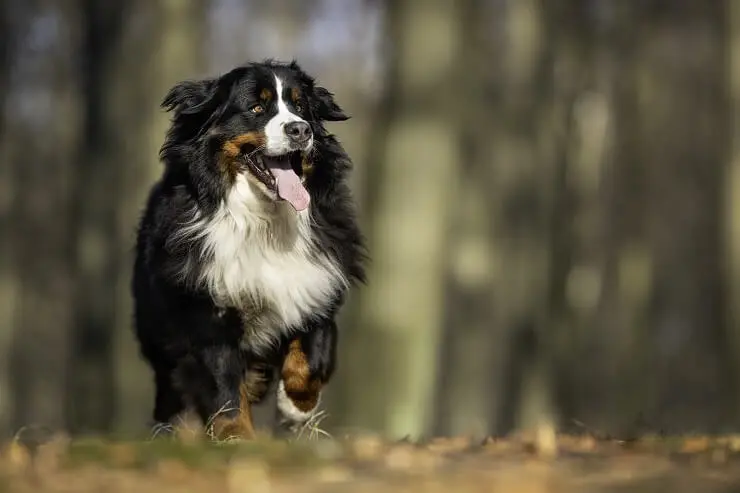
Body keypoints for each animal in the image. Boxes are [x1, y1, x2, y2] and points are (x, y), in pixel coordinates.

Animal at [132, 59, 368, 440]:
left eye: (301, 107)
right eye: (257, 108)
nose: (300, 130)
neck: (266, 221)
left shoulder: (317, 285)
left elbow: (311, 360)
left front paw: (294, 408)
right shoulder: (206, 307)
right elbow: (224, 383)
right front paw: (236, 435)